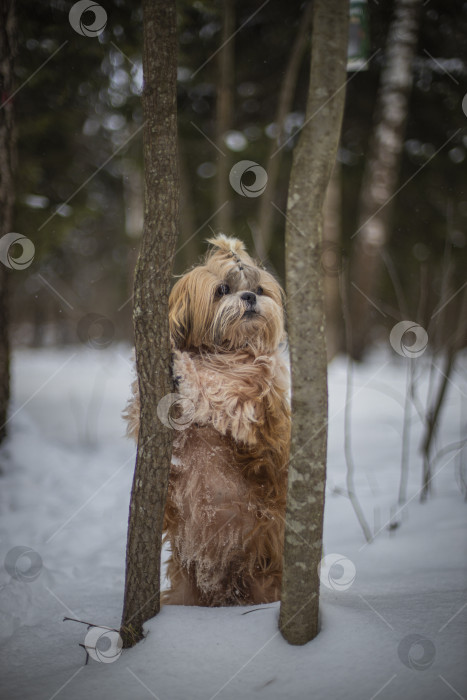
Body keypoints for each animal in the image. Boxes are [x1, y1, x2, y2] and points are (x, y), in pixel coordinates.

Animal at [126, 237, 290, 608]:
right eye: (223, 289)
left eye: (260, 288)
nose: (250, 296)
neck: (222, 351)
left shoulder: (252, 403)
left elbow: (218, 388)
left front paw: (184, 370)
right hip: (187, 590)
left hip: (264, 580)